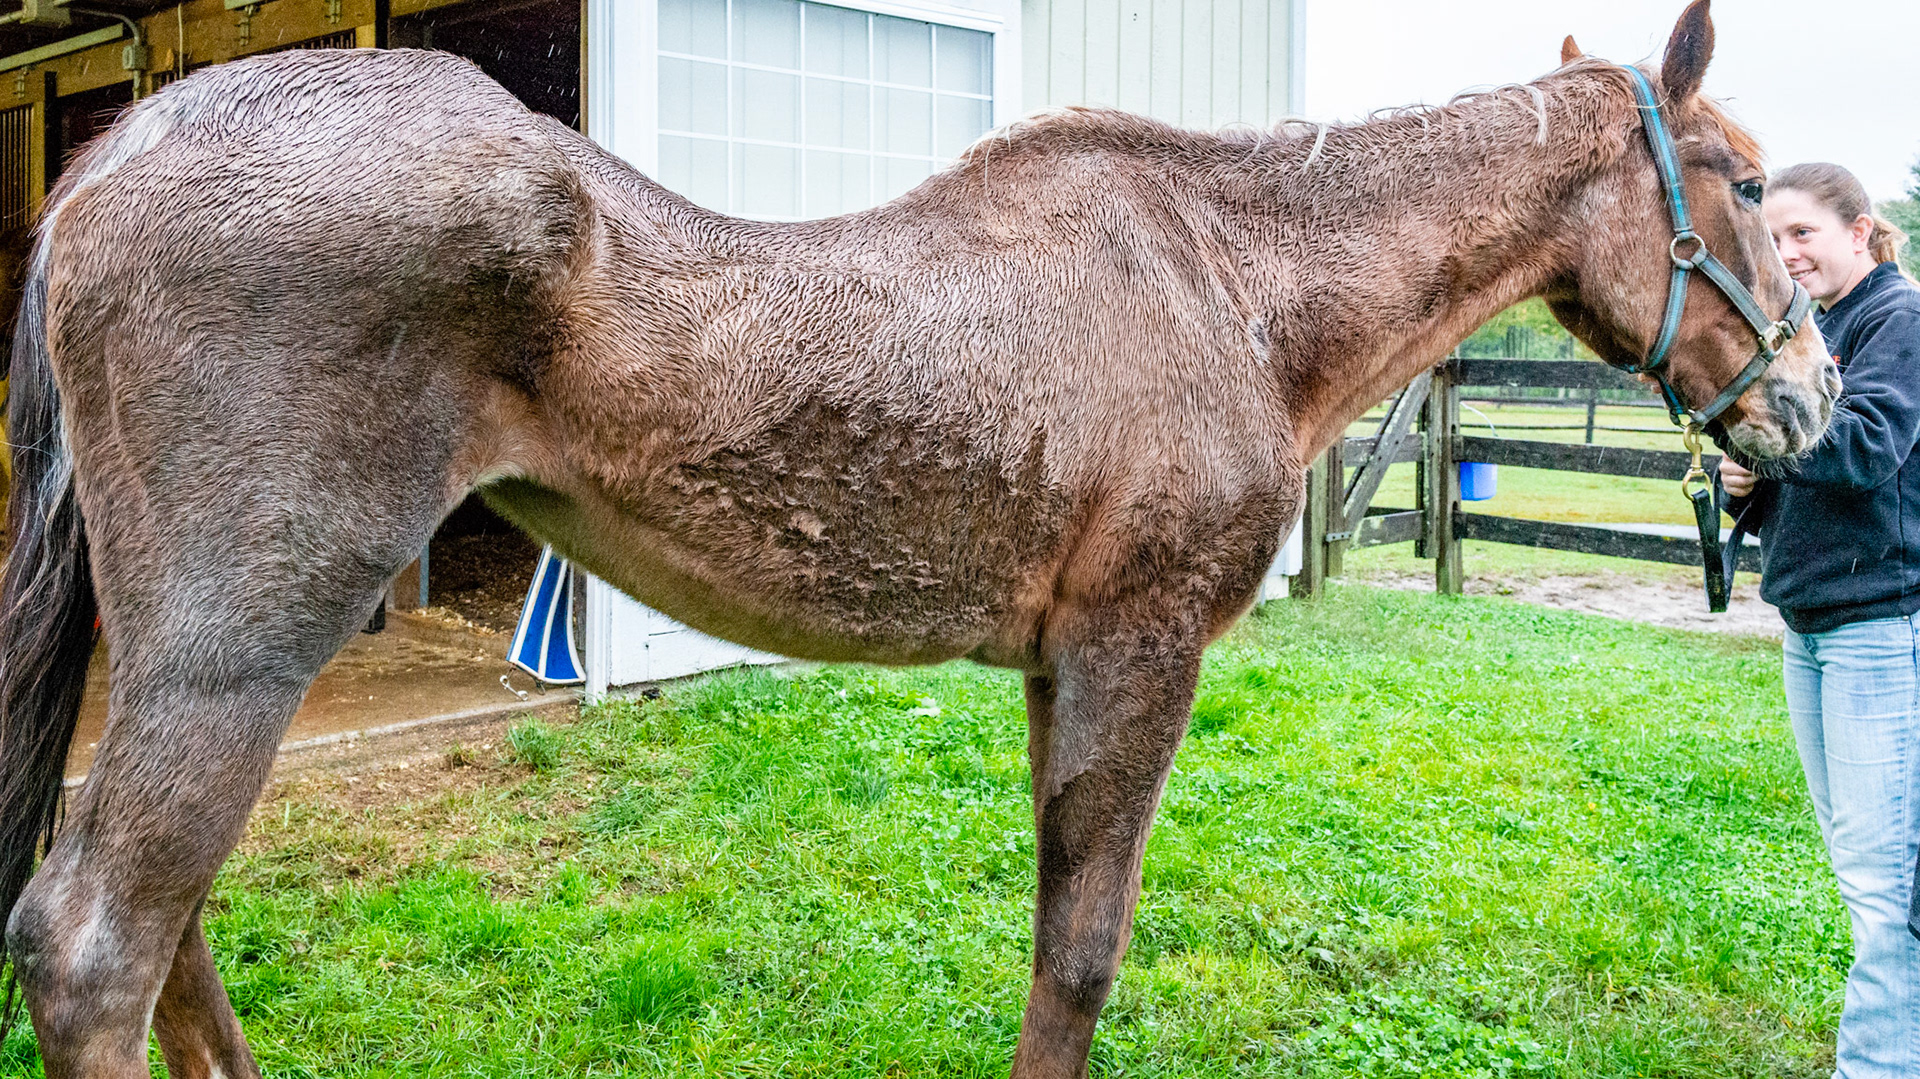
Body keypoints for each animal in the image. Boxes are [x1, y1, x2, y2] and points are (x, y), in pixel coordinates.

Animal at [0, 2, 1837, 1075]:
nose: (1813, 399)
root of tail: (119, 153)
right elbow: (1084, 954)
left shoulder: (1056, 666)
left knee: (165, 928)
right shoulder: (1133, 650)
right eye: (1746, 186)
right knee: (97, 943)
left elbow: (1053, 932)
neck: (1228, 281)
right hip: (239, 641)